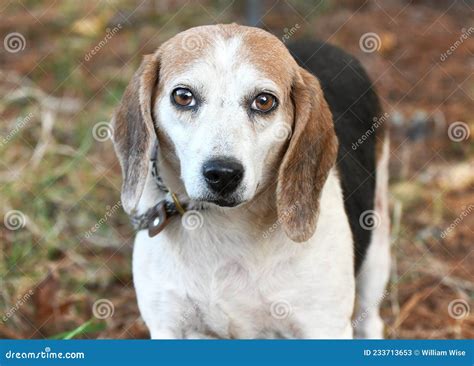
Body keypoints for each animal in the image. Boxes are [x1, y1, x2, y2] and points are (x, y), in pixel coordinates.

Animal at [113, 23, 390, 340]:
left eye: (264, 101)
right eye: (183, 96)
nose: (223, 174)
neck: (227, 225)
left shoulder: (324, 326)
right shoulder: (167, 325)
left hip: (377, 248)